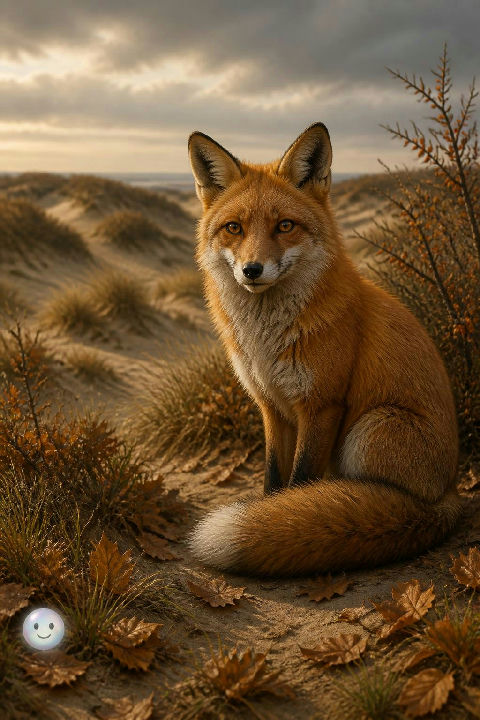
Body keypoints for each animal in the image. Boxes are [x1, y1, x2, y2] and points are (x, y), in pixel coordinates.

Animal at [186, 122, 461, 577]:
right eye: (234, 228)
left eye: (284, 226)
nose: (252, 270)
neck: (265, 341)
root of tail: (450, 493)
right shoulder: (271, 405)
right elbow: (273, 481)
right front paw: (271, 515)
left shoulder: (322, 405)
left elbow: (299, 483)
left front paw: (288, 523)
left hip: (370, 428)